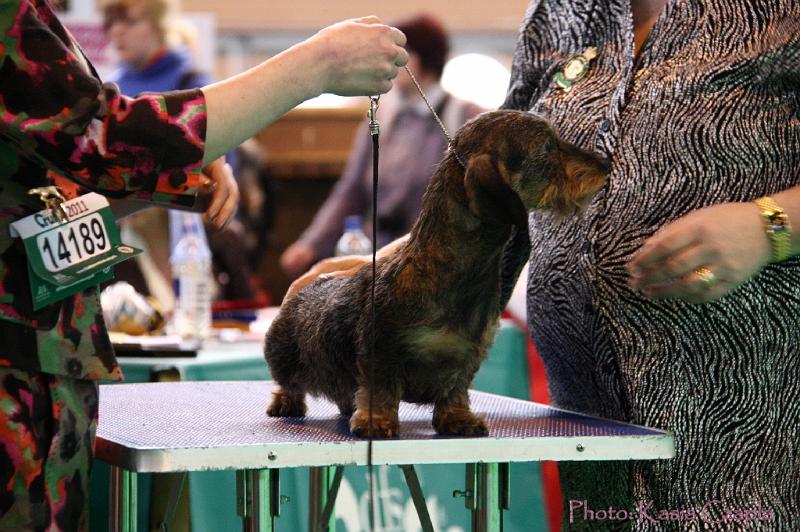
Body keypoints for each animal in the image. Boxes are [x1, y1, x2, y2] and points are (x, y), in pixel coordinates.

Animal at [264, 110, 608, 438]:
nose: (605, 163)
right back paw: (286, 401)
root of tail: (307, 285)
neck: (455, 273)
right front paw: (377, 420)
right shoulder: (380, 350)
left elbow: (456, 391)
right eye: (548, 147)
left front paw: (458, 418)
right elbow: (380, 389)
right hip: (283, 354)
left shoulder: (468, 355)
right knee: (288, 382)